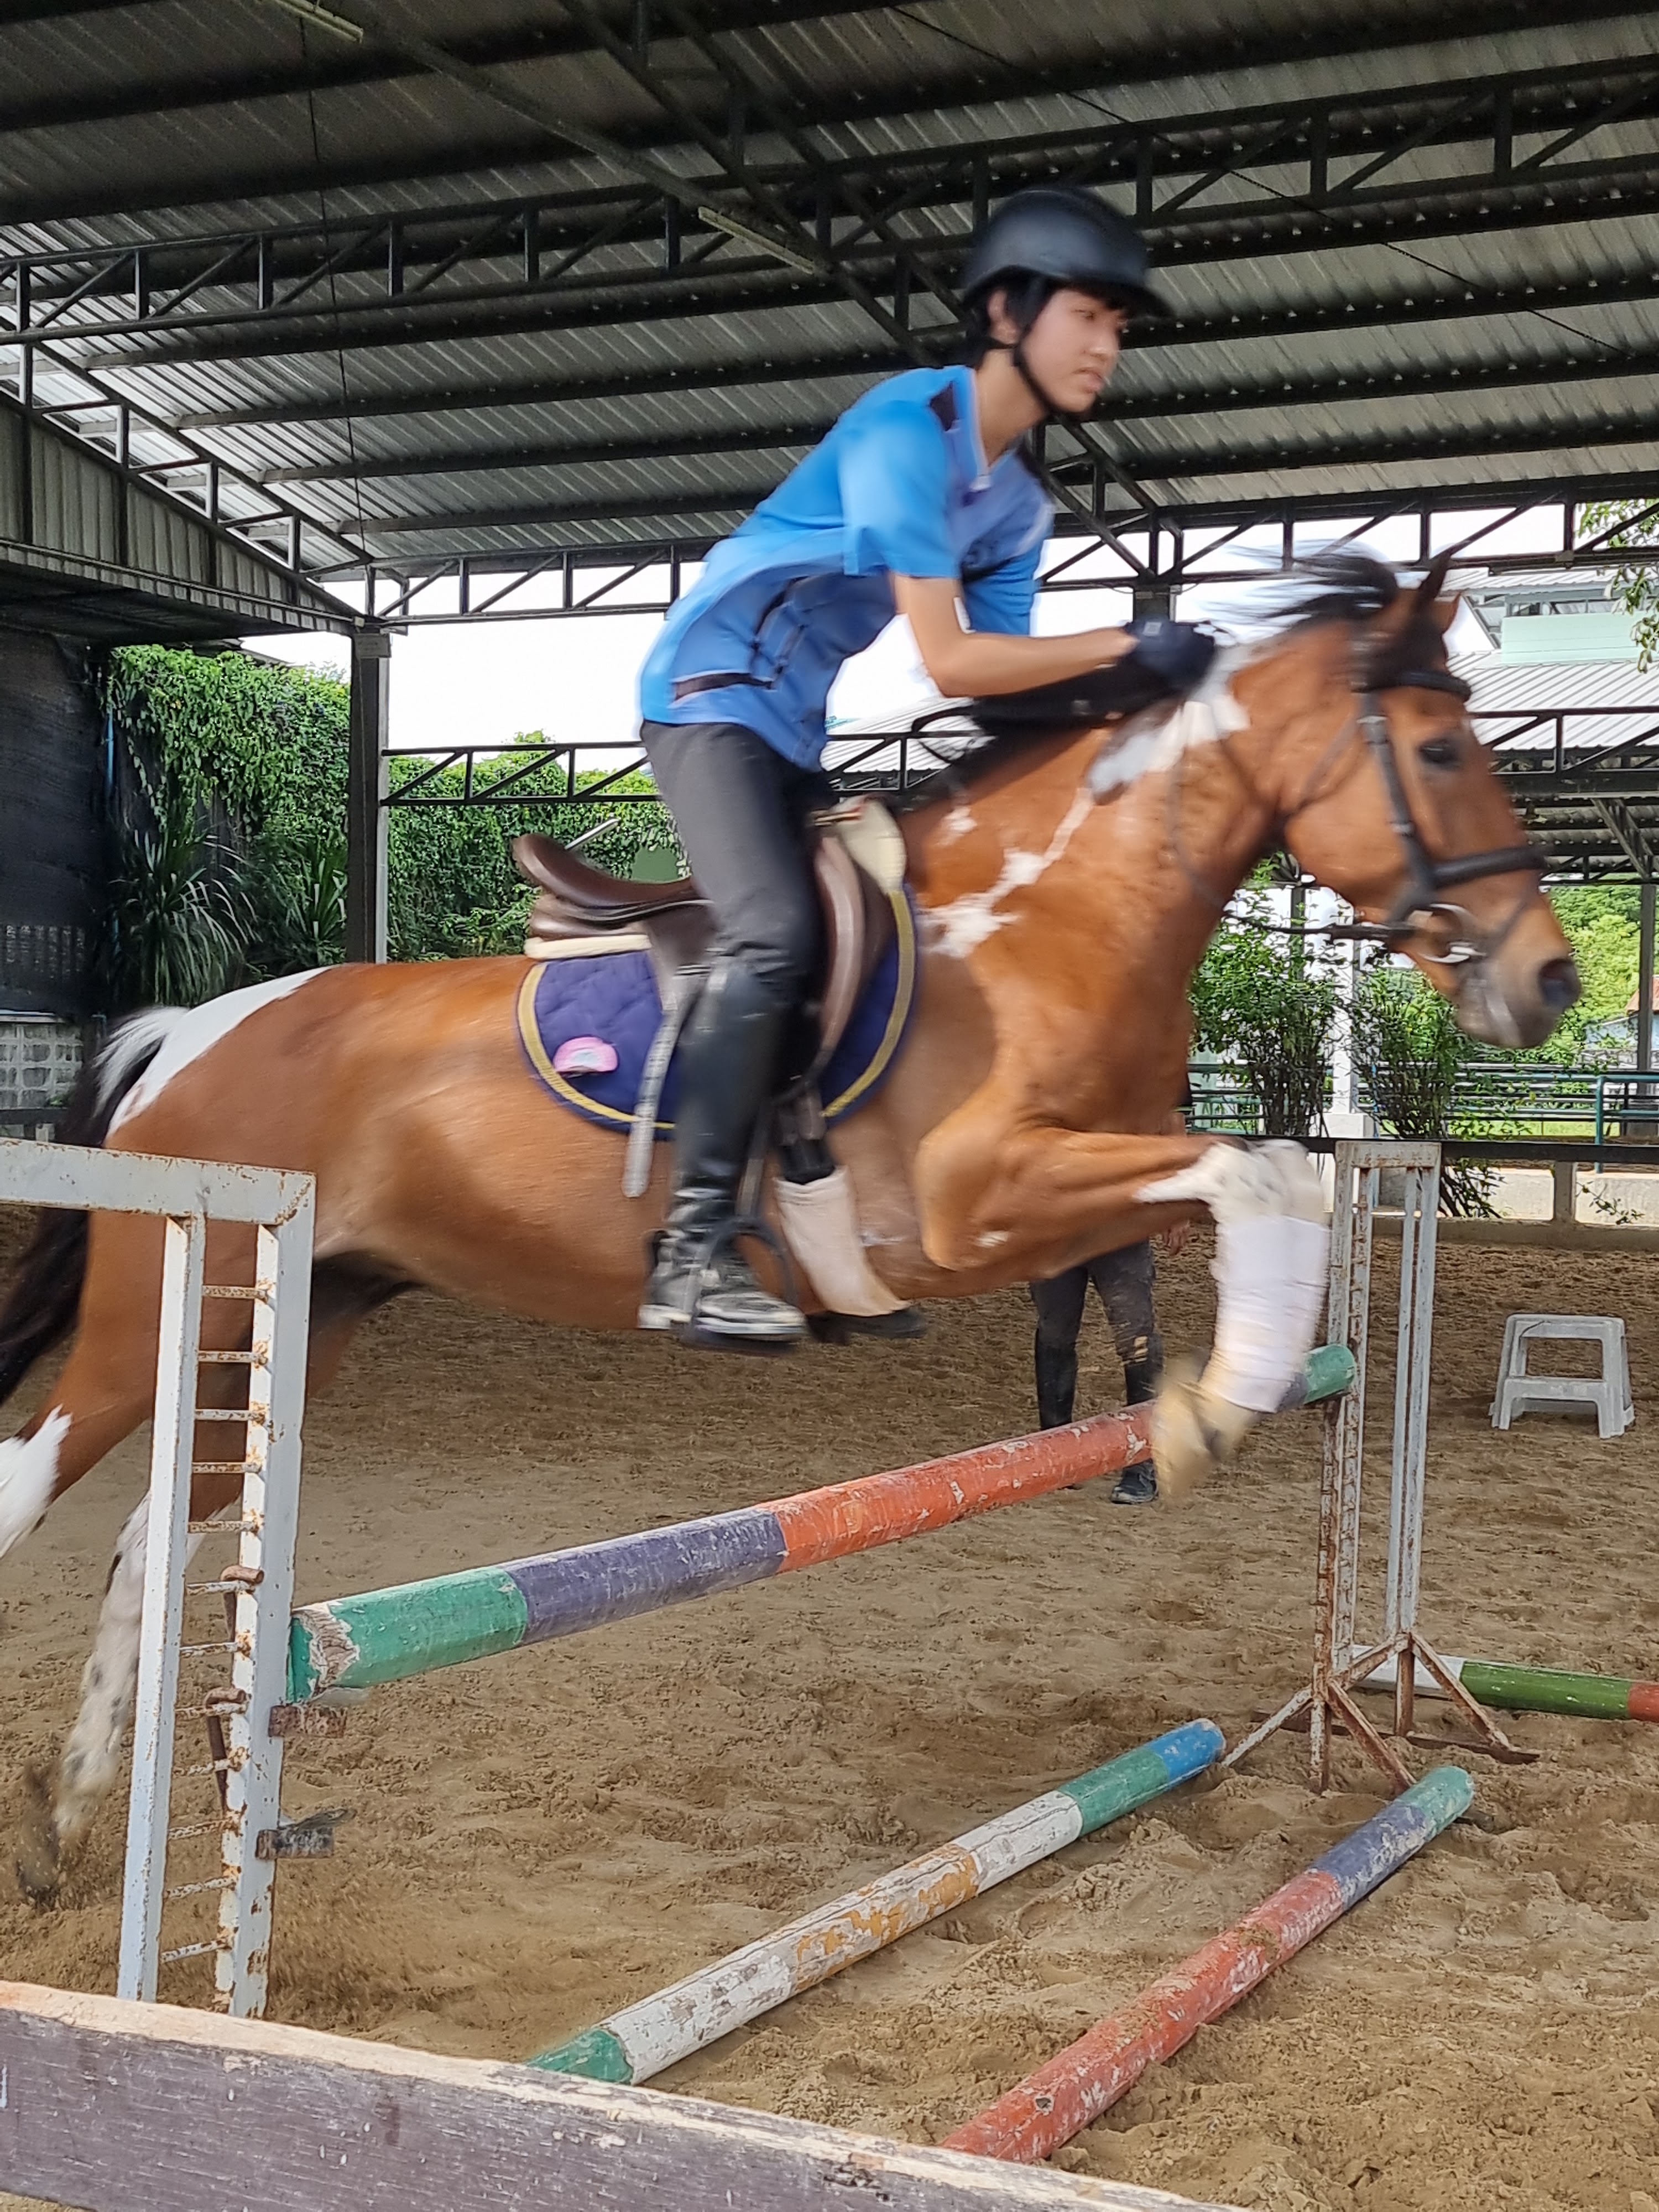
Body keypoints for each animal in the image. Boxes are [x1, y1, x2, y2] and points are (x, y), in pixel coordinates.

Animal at [0, 555, 1576, 1897]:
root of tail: (187, 1027)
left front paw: (1204, 1407)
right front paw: (1206, 1414)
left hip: (294, 1325)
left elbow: (1277, 1174)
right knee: (36, 1480)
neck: (1037, 921)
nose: (1550, 982)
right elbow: (1259, 1176)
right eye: (1443, 751)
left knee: (156, 1536)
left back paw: (71, 1818)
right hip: (165, 1312)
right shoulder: (969, 1204)